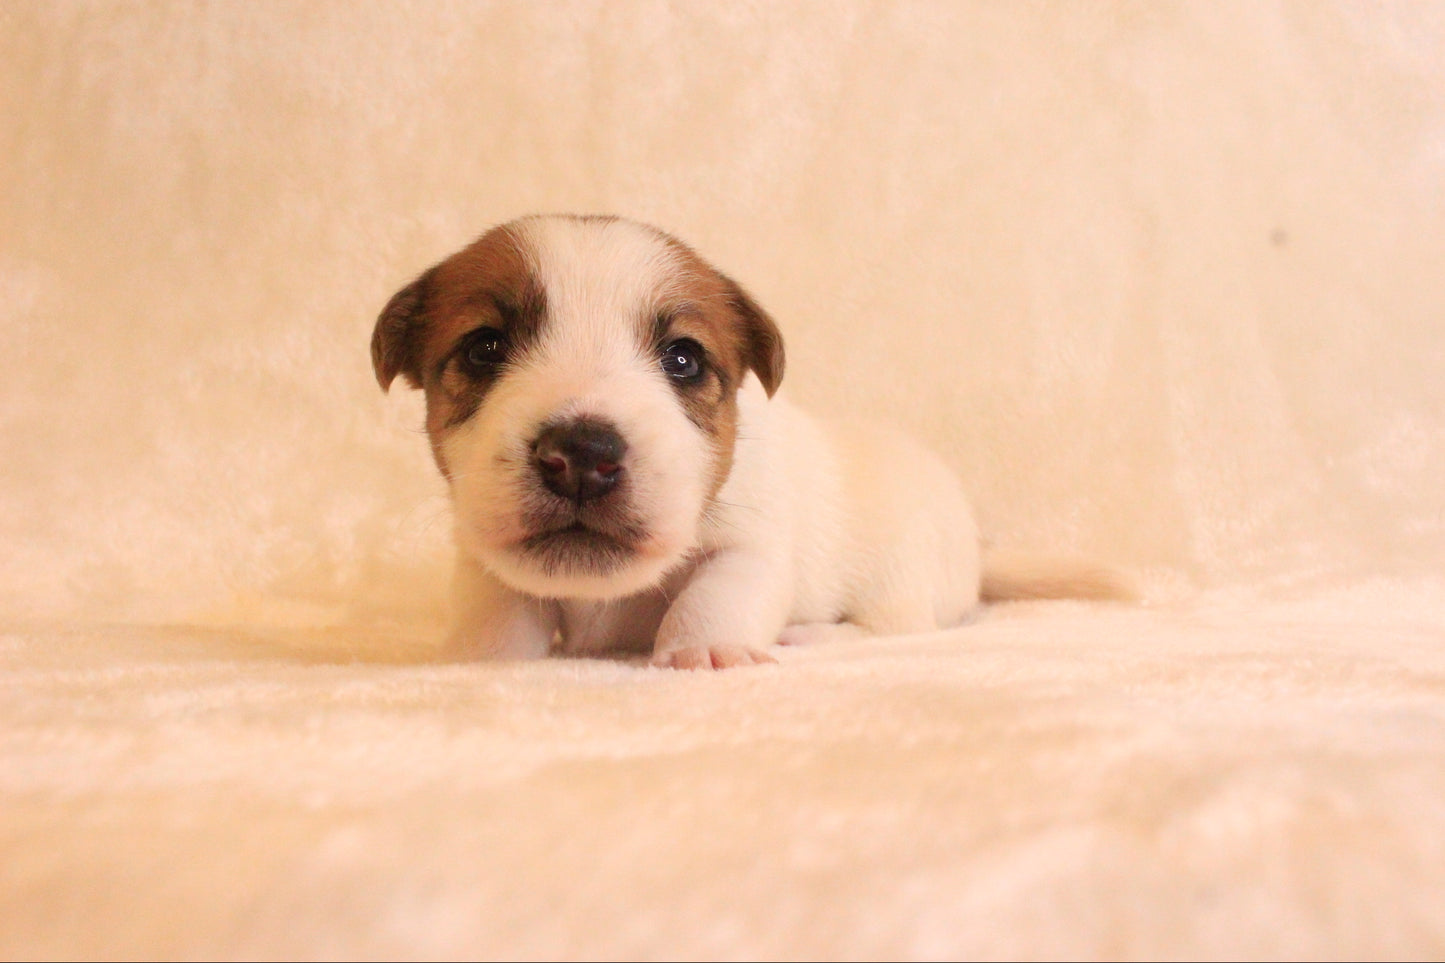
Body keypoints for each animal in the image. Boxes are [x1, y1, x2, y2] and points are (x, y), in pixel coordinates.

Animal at [372, 215, 1092, 668]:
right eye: (484, 348)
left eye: (683, 359)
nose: (582, 455)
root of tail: (975, 549)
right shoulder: (484, 558)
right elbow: (495, 609)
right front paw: (478, 658)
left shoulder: (752, 547)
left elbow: (713, 595)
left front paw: (705, 651)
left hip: (899, 573)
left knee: (891, 626)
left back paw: (807, 635)